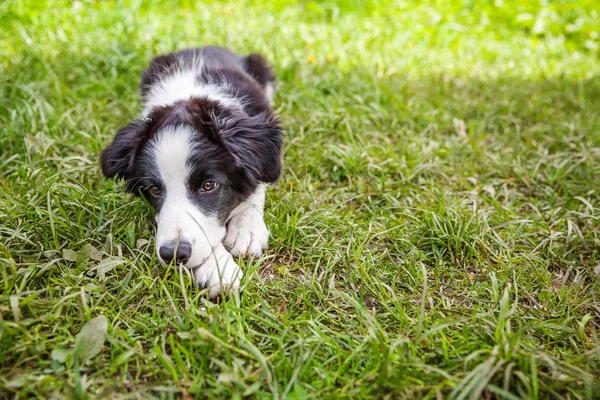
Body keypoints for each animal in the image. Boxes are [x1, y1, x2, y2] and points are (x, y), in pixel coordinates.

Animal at [101, 46, 284, 296]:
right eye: (154, 190)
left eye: (208, 185)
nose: (173, 255)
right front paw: (218, 269)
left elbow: (258, 181)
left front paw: (247, 229)